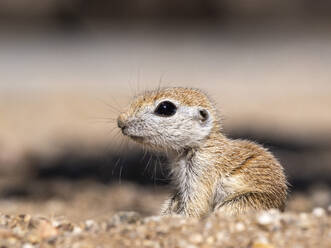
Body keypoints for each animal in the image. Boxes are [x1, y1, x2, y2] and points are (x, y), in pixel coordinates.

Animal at [116, 86, 288, 217]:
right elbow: (174, 200)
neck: (200, 144)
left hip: (240, 203)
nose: (120, 120)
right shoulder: (180, 182)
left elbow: (195, 205)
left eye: (165, 108)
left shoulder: (202, 171)